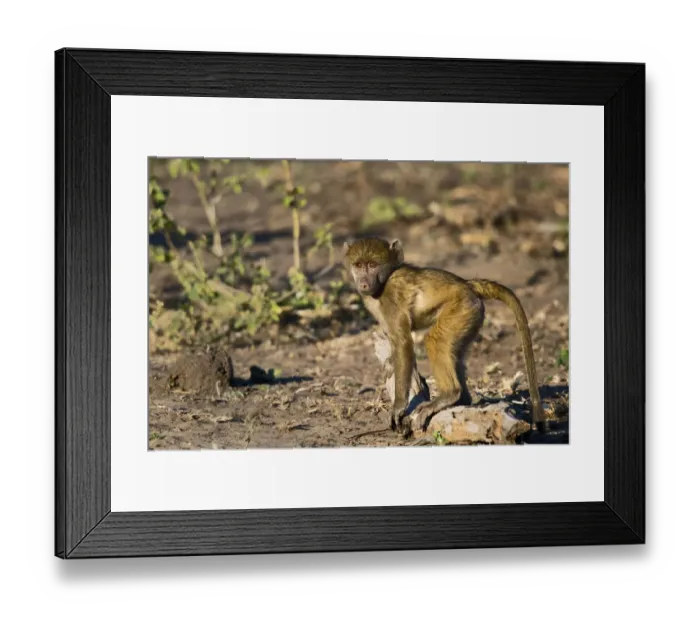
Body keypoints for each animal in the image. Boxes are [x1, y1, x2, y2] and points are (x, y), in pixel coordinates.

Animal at [343, 236, 548, 437]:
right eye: (358, 265)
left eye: (372, 265)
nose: (363, 283)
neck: (384, 282)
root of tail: (467, 284)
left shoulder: (391, 296)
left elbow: (402, 343)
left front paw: (399, 406)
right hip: (470, 317)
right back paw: (461, 400)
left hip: (461, 309)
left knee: (434, 340)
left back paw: (450, 394)